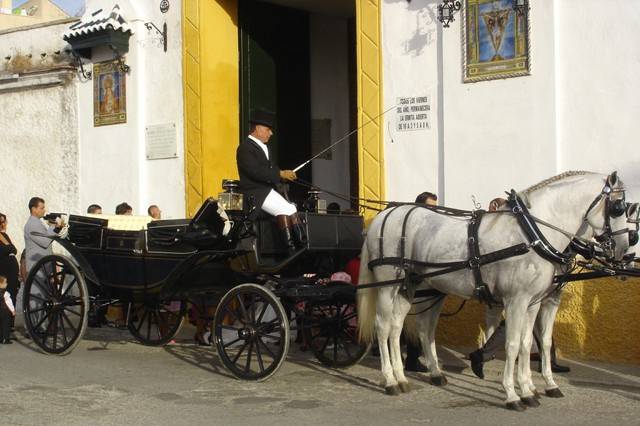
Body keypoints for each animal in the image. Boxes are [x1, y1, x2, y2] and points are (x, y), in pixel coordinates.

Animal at [358, 171, 632, 412]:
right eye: (618, 207)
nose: (626, 249)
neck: (533, 235)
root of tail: (385, 215)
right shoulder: (515, 301)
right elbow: (512, 345)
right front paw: (513, 395)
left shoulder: (534, 302)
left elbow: (528, 343)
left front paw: (530, 389)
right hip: (387, 285)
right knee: (383, 327)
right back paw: (390, 380)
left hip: (413, 287)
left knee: (403, 328)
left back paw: (408, 376)